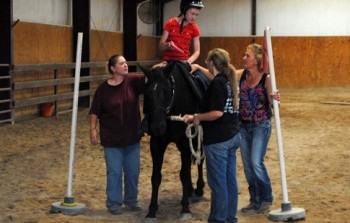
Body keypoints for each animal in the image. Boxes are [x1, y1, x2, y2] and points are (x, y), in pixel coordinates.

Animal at [139, 60, 205, 220]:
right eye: (147, 92)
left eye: (168, 89)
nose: (157, 126)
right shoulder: (156, 143)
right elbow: (156, 176)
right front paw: (152, 210)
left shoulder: (186, 142)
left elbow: (183, 174)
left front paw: (185, 208)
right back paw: (190, 190)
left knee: (199, 160)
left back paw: (199, 188)